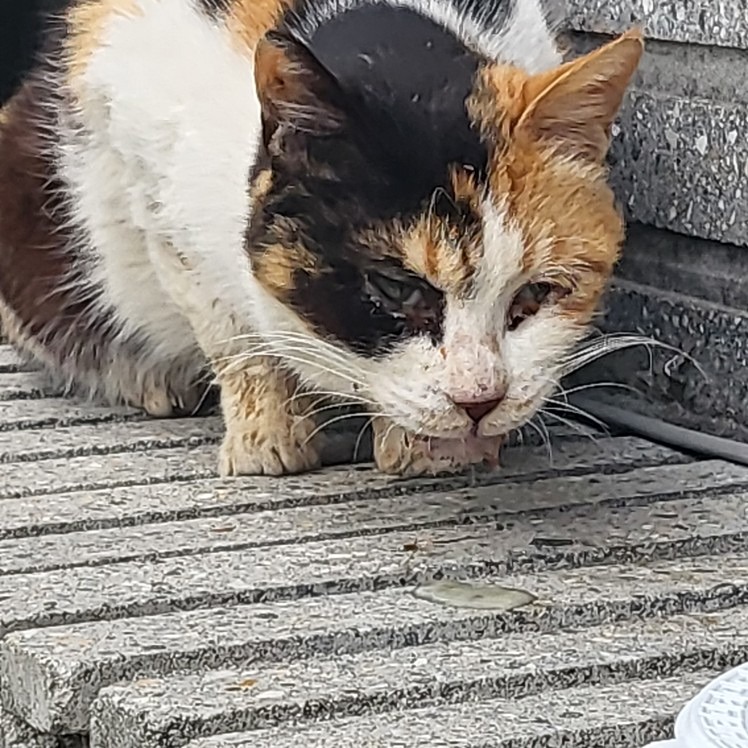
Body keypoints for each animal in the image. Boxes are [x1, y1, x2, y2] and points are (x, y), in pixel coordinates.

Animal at [0, 0, 644, 476]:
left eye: (537, 293)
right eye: (394, 287)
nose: (480, 400)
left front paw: (427, 449)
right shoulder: (149, 174)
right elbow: (234, 339)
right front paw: (267, 443)